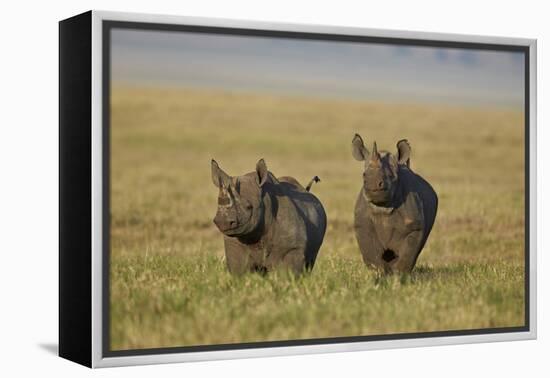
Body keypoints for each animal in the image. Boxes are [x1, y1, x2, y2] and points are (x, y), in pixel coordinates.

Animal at [354, 134, 440, 274]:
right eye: (364, 175)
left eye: (390, 176)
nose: (373, 184)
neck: (383, 206)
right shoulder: (362, 225)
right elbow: (370, 254)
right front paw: (378, 272)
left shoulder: (414, 226)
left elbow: (408, 252)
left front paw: (399, 274)